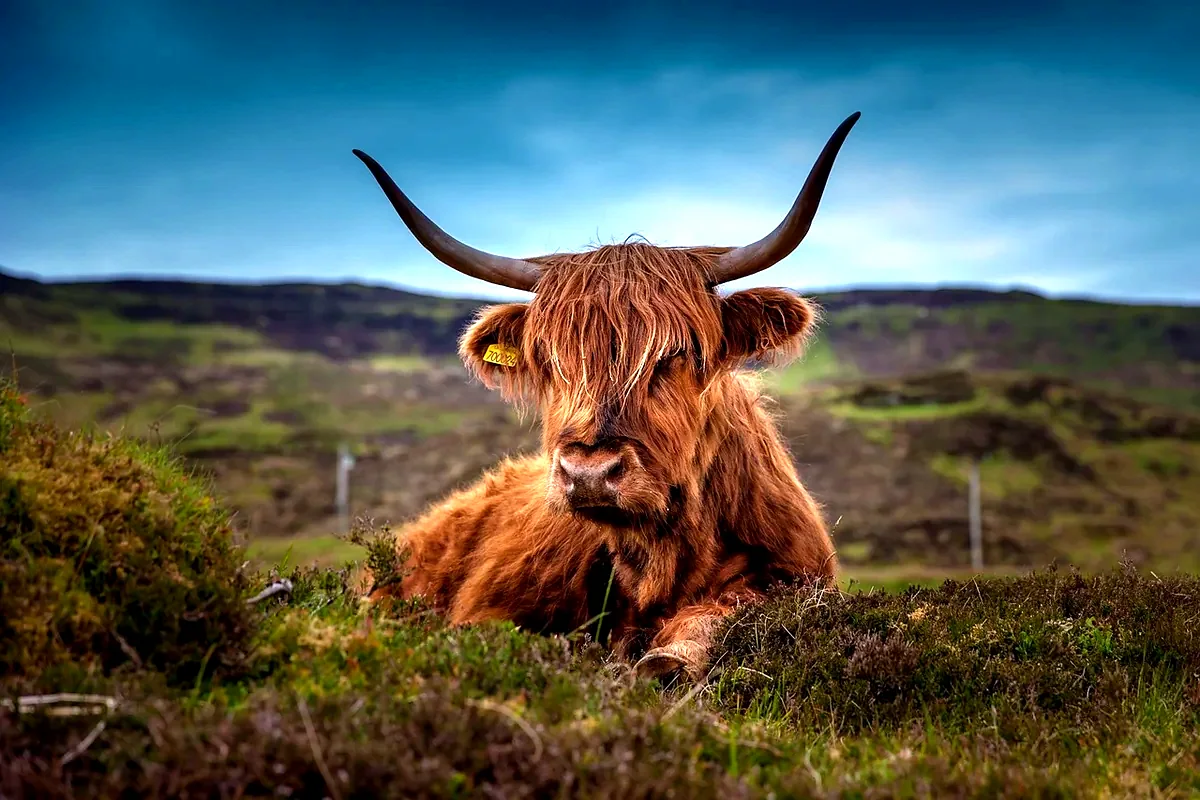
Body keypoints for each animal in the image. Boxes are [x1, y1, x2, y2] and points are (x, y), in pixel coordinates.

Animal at [350, 111, 860, 682]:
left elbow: (724, 613)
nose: (589, 473)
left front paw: (669, 658)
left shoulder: (793, 577)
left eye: (676, 353)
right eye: (551, 360)